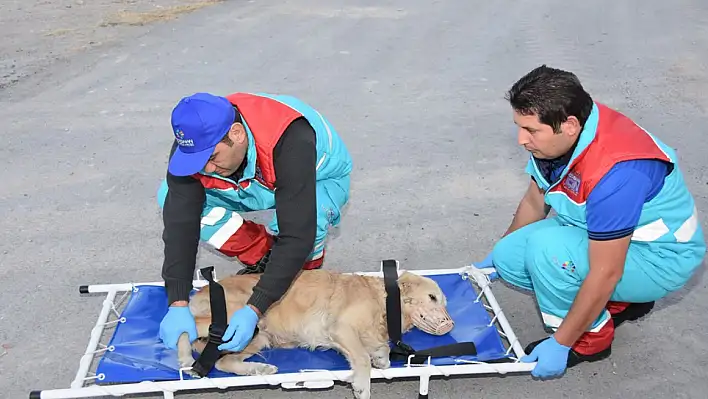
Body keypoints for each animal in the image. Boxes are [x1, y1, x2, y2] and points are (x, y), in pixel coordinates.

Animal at [176, 268, 454, 399]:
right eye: (432, 297)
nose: (449, 325)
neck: (385, 302)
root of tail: (204, 291)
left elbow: (379, 351)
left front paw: (381, 357)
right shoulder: (341, 327)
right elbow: (362, 359)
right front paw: (362, 386)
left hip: (257, 335)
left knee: (223, 362)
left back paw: (259, 368)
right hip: (237, 318)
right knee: (186, 327)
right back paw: (185, 357)